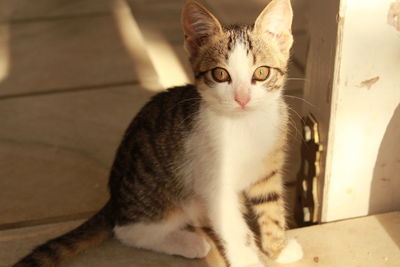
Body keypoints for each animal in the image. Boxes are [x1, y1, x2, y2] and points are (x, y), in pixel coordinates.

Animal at [14, 0, 304, 267]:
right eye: (220, 75)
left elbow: (271, 208)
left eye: (262, 73)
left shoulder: (267, 171)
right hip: (161, 194)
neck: (245, 124)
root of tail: (115, 198)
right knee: (129, 231)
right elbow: (237, 232)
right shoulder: (215, 184)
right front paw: (250, 259)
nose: (242, 99)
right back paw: (191, 242)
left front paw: (278, 249)